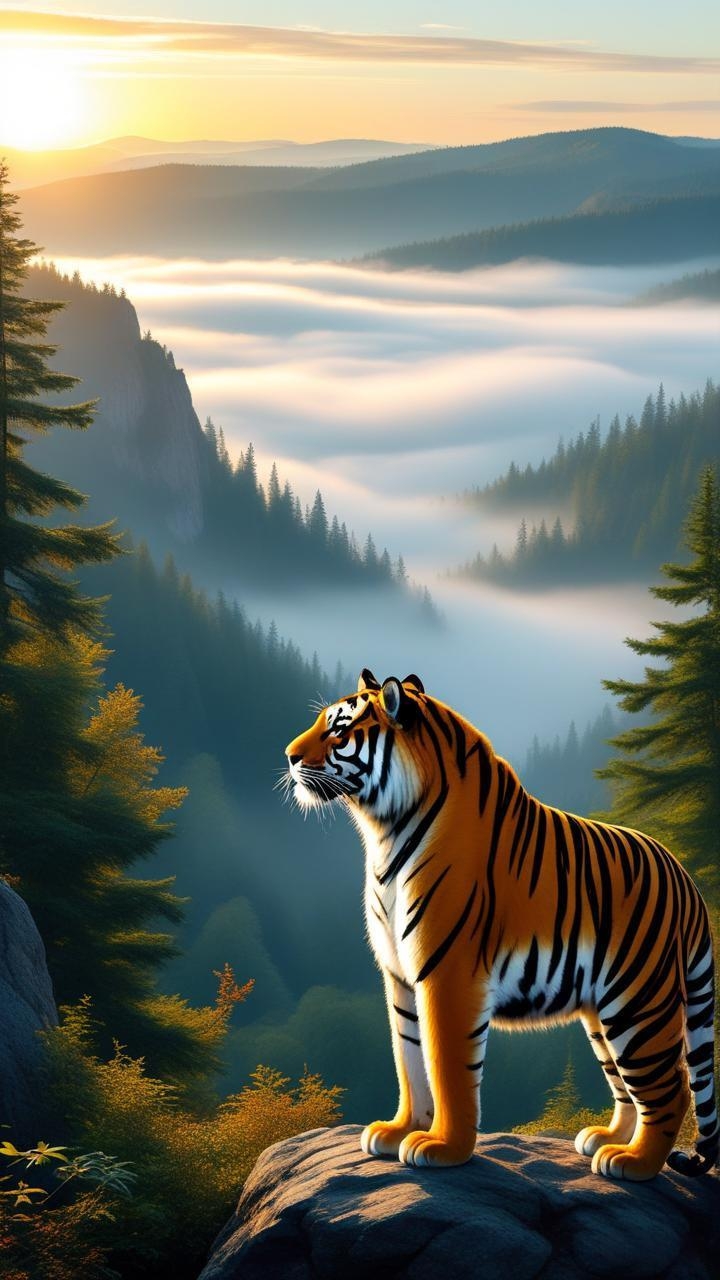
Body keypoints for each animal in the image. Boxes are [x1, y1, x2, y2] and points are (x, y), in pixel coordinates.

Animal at [285, 670, 719, 1181]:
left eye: (339, 730)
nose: (288, 756)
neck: (384, 831)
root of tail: (684, 877)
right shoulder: (399, 977)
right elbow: (407, 1059)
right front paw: (398, 1131)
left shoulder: (447, 975)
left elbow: (447, 1068)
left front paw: (443, 1147)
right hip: (602, 1014)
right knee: (626, 1084)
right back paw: (605, 1139)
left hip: (638, 1001)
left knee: (670, 1086)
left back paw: (633, 1162)